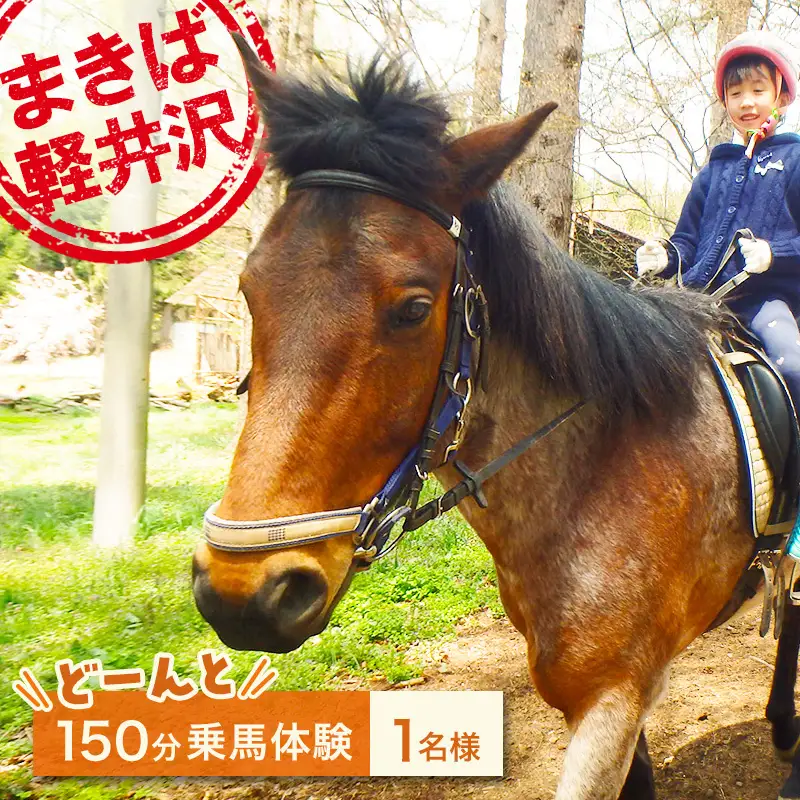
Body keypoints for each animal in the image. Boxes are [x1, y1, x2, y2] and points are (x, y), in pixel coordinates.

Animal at [192, 40, 800, 799]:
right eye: (251, 288)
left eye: (414, 309)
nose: (244, 594)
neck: (601, 470)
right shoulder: (616, 695)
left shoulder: (615, 700)